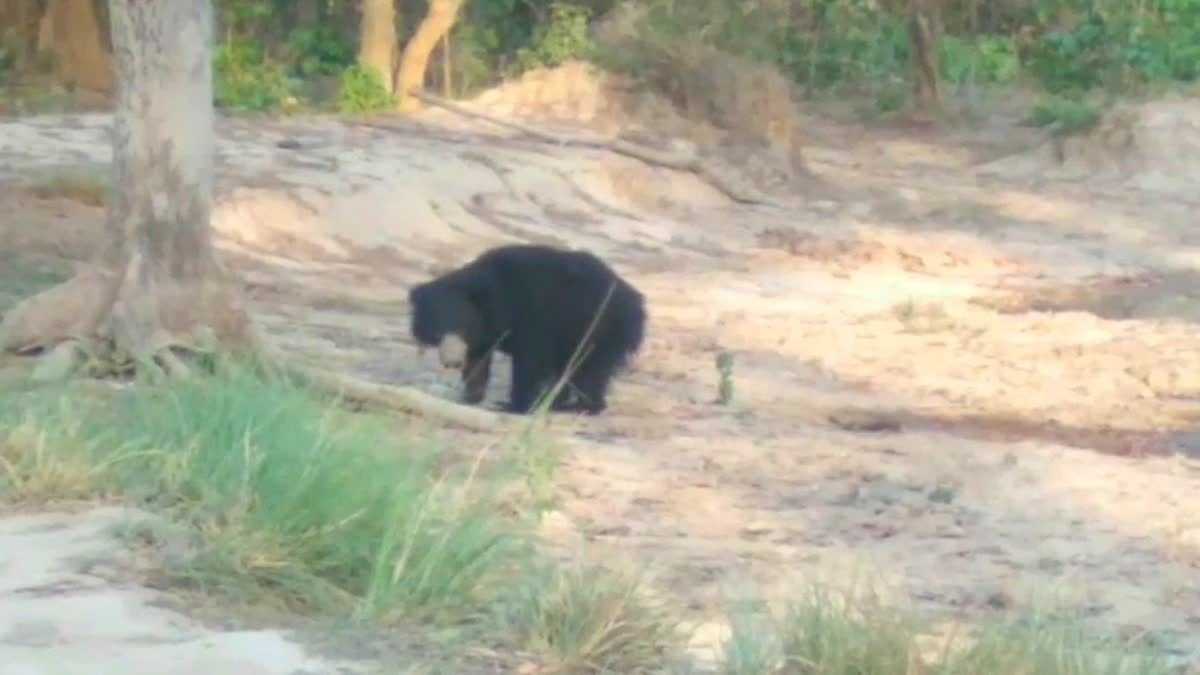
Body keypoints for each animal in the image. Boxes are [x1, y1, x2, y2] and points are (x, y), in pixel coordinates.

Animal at [408, 244, 647, 415]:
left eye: (460, 328)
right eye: (436, 334)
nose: (452, 362)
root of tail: (638, 304)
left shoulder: (531, 314)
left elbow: (530, 361)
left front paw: (512, 405)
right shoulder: (485, 331)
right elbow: (479, 359)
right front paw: (470, 396)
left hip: (597, 326)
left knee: (589, 372)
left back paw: (579, 406)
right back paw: (556, 402)